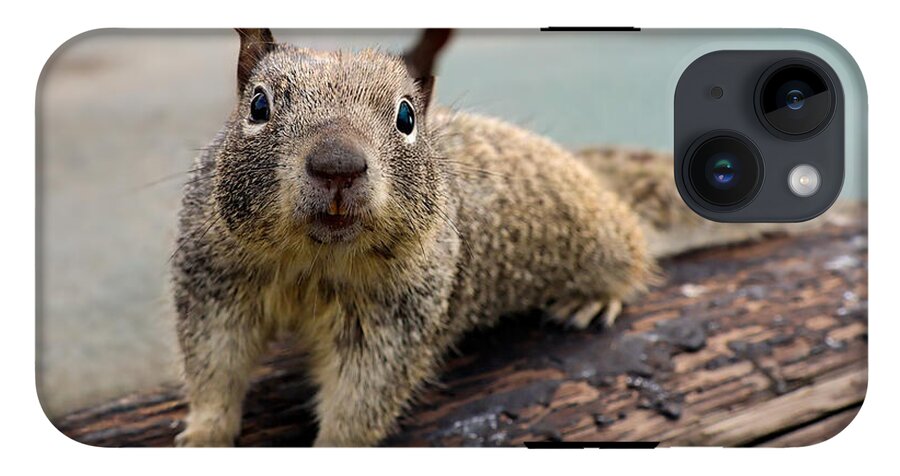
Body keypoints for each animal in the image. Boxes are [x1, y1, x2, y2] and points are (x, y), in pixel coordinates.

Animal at [172, 29, 801, 447]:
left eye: (406, 117)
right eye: (258, 104)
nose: (337, 165)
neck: (316, 261)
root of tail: (591, 174)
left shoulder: (397, 316)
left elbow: (363, 396)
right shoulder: (216, 280)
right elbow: (214, 365)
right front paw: (203, 435)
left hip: (602, 237)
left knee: (632, 254)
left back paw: (594, 297)